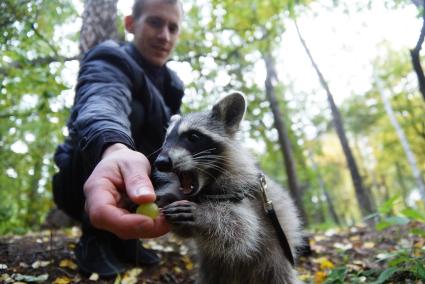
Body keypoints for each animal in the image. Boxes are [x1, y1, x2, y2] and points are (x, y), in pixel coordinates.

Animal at [154, 92, 304, 282]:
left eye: (193, 137)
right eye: (166, 140)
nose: (161, 162)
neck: (205, 189)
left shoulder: (245, 195)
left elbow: (243, 230)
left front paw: (205, 216)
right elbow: (186, 231)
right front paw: (166, 198)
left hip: (275, 260)